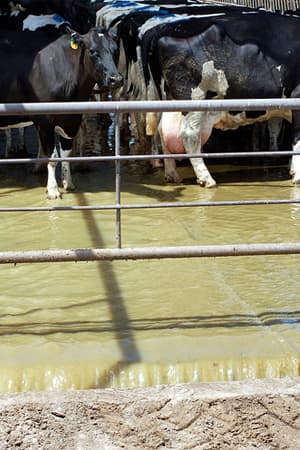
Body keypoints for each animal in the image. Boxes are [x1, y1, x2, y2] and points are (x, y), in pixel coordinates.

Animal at [0, 25, 123, 198]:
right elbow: (52, 156)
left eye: (116, 49)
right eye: (92, 51)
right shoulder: (44, 120)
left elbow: (66, 153)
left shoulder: (72, 119)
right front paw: (52, 190)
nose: (116, 79)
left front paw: (68, 183)